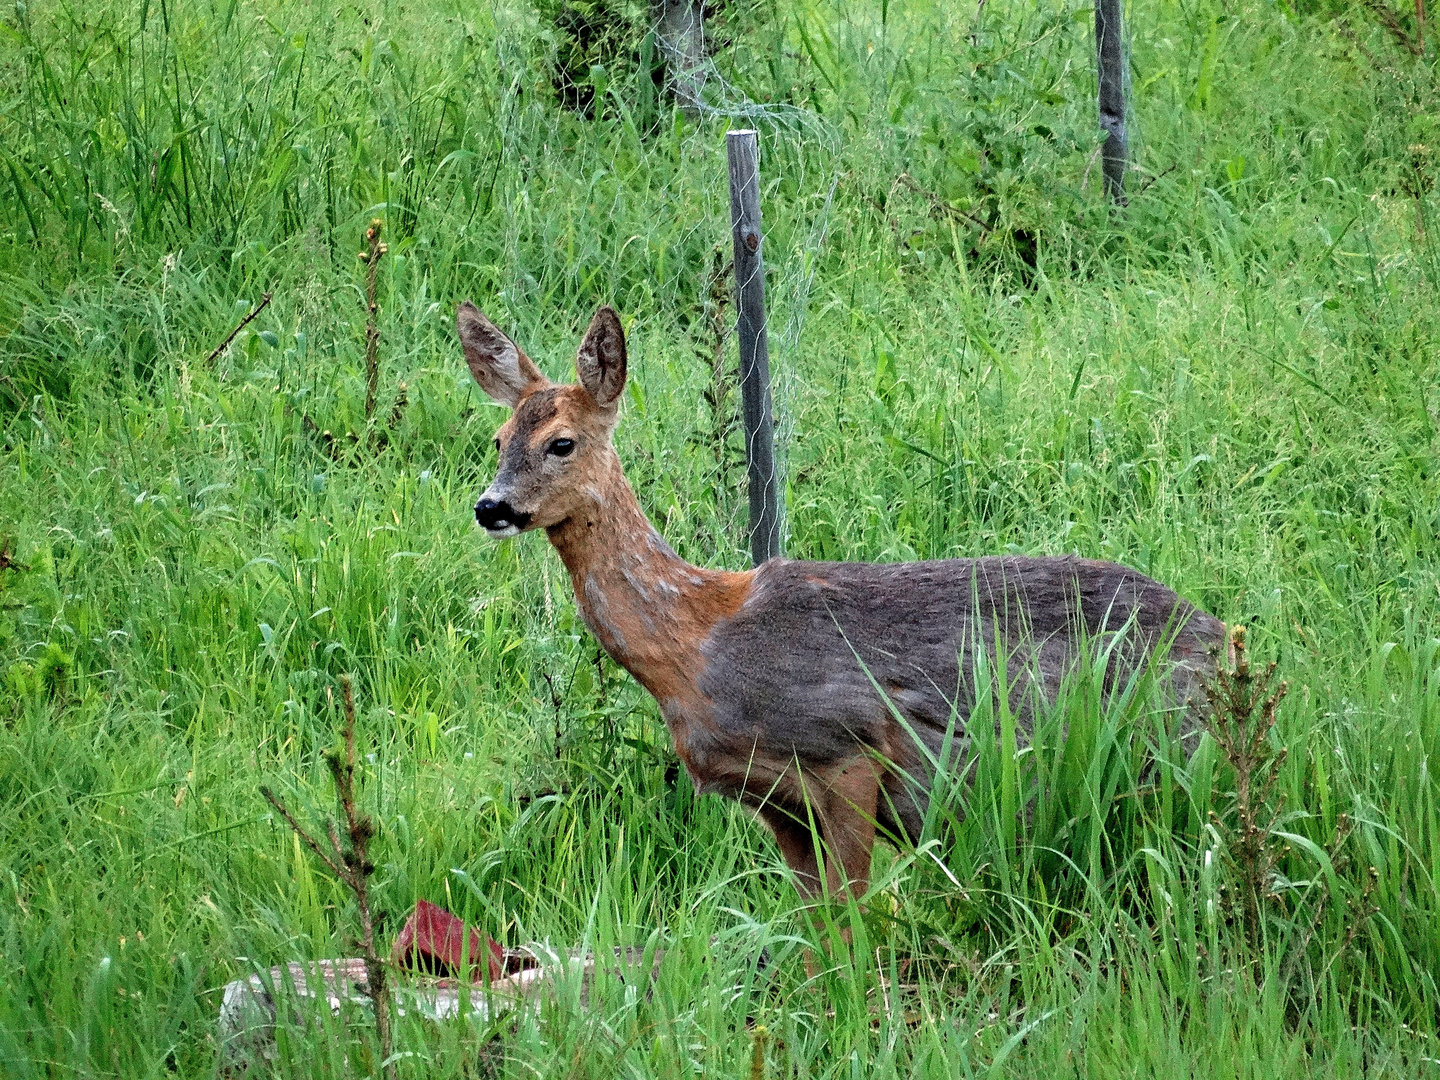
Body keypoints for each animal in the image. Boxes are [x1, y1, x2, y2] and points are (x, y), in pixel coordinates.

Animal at [455, 302, 1221, 904]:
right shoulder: (774, 800)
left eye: (562, 442)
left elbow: (852, 922)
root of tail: (1225, 646)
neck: (697, 645)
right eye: (497, 439)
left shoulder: (846, 748)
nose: (491, 507)